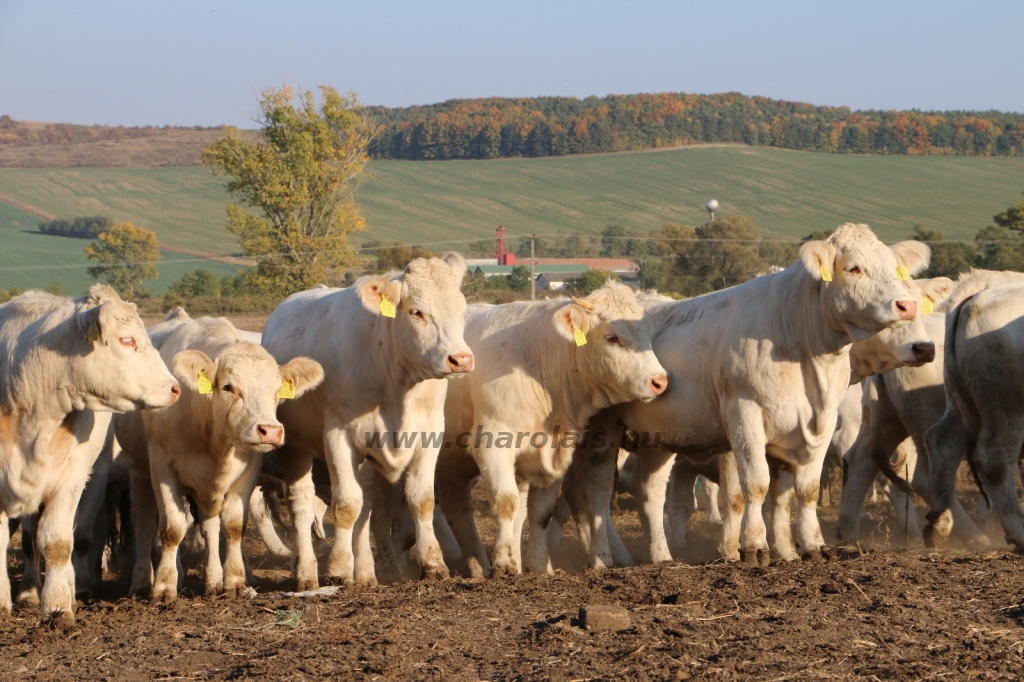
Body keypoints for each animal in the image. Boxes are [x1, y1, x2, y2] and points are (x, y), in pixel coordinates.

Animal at [117, 311, 321, 602]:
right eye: (228, 387)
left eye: (277, 390)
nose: (270, 431)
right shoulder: (162, 466)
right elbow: (172, 528)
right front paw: (165, 586)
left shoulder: (247, 470)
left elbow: (232, 526)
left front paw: (234, 581)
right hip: (139, 469)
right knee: (144, 521)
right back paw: (142, 580)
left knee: (210, 526)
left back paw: (213, 580)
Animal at [262, 251, 473, 585]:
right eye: (416, 312)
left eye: (463, 311)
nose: (461, 359)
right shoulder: (338, 435)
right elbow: (346, 504)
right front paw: (337, 569)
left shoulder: (429, 433)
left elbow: (421, 499)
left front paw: (433, 563)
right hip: (295, 447)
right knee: (302, 504)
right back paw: (306, 571)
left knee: (368, 505)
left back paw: (364, 572)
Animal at [434, 278, 667, 577]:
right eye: (612, 337)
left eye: (648, 334)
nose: (659, 381)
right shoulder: (492, 445)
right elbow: (506, 503)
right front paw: (506, 563)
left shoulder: (556, 450)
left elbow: (540, 512)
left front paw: (537, 565)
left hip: (451, 464)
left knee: (458, 509)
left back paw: (477, 567)